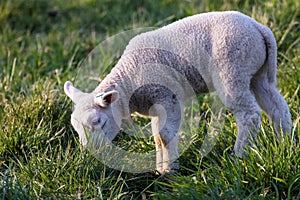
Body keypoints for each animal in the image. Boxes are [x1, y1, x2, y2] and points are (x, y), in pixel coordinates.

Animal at [64, 10, 292, 174]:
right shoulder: (155, 105)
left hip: (233, 69)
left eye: (99, 122)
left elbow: (165, 135)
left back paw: (239, 155)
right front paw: (160, 169)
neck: (128, 81)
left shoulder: (167, 95)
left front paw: (170, 171)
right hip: (256, 72)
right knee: (277, 107)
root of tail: (259, 28)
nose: (92, 153)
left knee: (249, 114)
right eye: (76, 128)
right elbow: (157, 137)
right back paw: (285, 143)